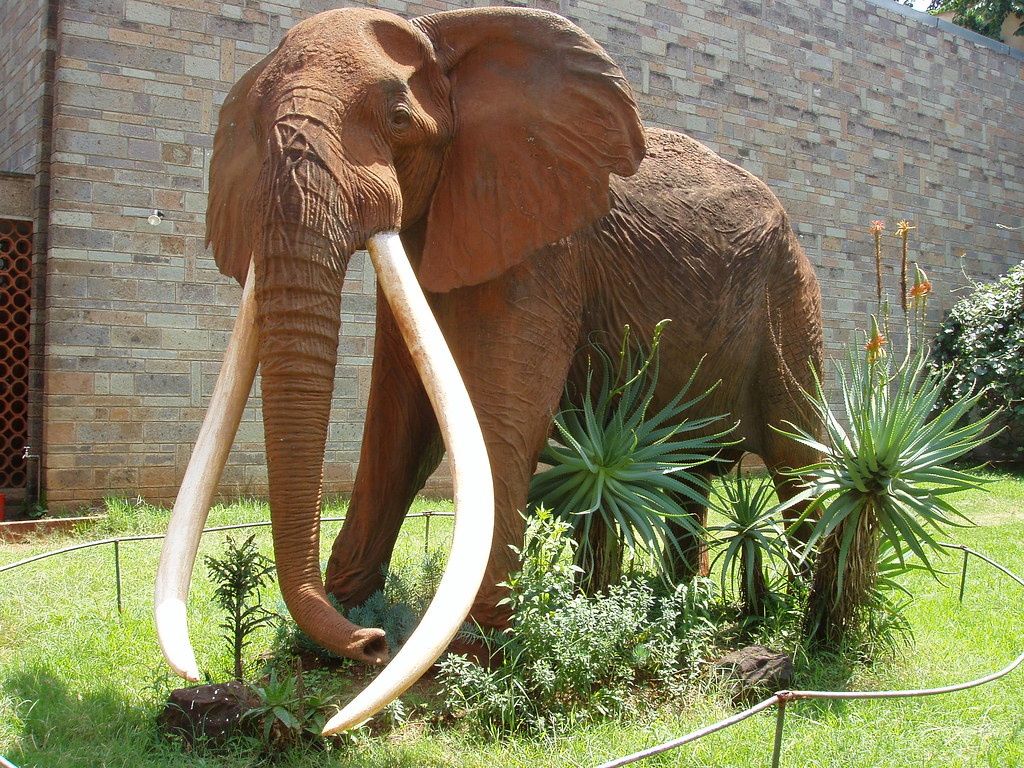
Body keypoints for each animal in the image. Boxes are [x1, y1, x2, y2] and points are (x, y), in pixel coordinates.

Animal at [153, 6, 822, 734]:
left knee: (797, 456)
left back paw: (801, 624)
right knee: (686, 475)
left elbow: (497, 416)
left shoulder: (542, 243)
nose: (374, 643)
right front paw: (330, 641)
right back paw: (676, 606)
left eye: (398, 120)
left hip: (791, 297)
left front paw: (479, 655)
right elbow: (398, 425)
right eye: (250, 125)